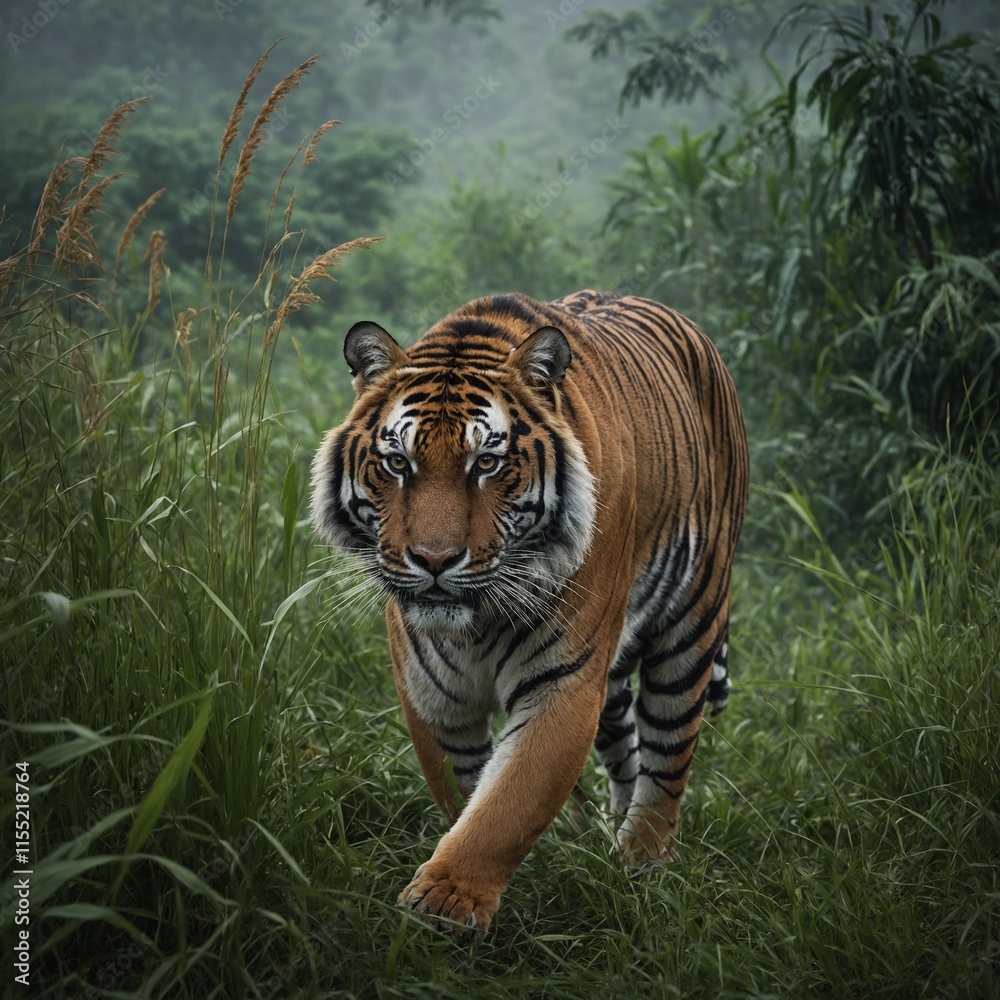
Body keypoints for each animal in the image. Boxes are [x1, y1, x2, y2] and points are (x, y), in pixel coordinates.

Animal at [310, 289, 749, 932]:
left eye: (486, 464)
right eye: (398, 464)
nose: (434, 560)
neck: (474, 625)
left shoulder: (564, 682)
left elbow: (509, 802)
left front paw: (445, 904)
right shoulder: (431, 692)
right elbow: (471, 790)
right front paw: (550, 857)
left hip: (693, 621)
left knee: (668, 752)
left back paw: (643, 860)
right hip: (612, 676)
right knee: (626, 751)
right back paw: (608, 846)